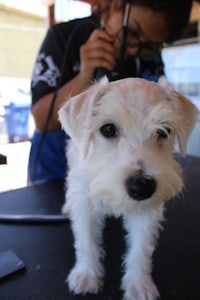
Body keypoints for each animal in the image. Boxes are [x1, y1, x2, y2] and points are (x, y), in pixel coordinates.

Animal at [57, 77, 197, 300]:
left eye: (164, 131)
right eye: (108, 129)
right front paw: (86, 275)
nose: (141, 187)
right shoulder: (85, 206)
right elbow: (87, 242)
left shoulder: (146, 213)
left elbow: (140, 249)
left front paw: (139, 285)